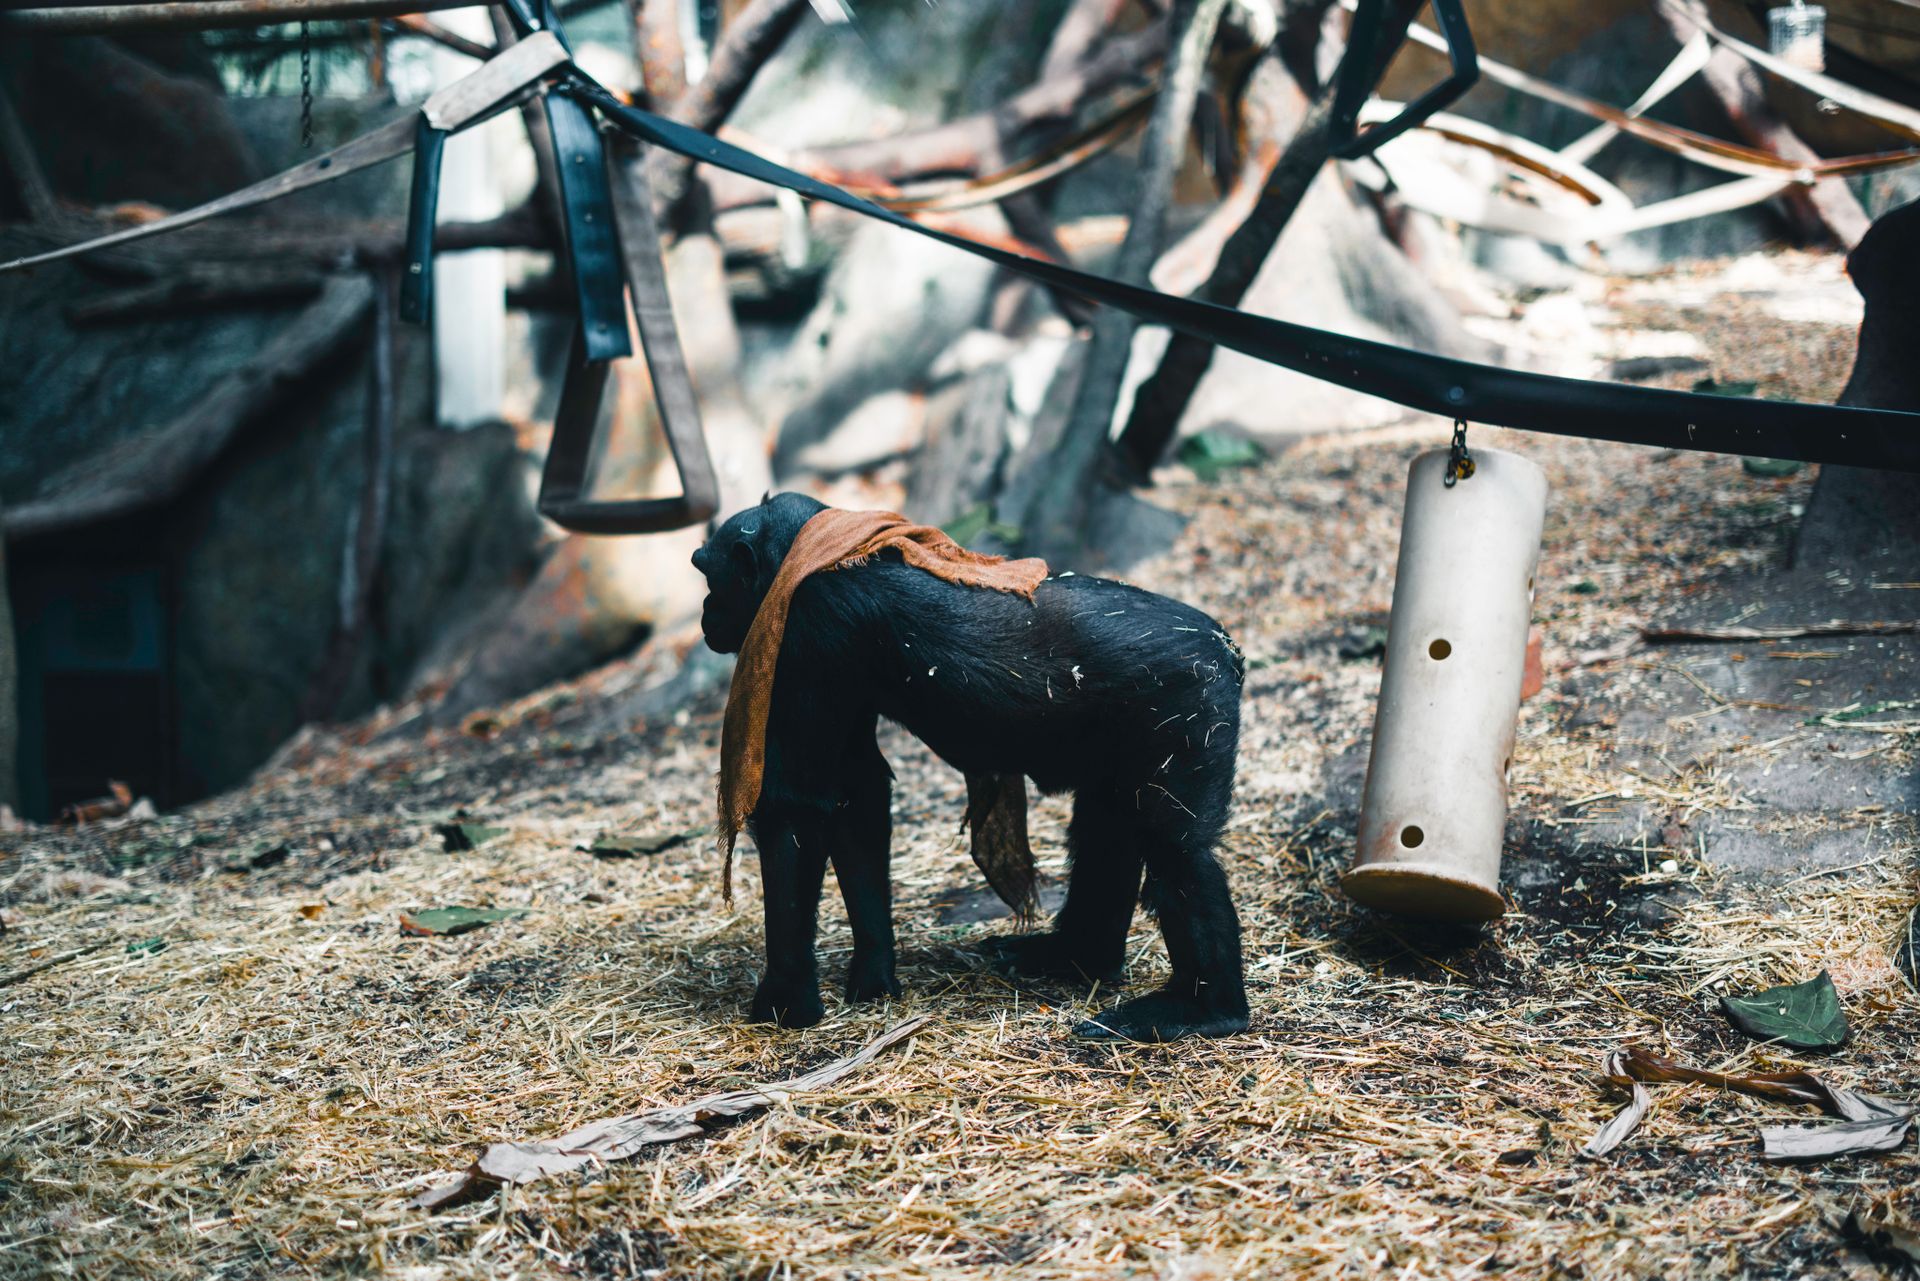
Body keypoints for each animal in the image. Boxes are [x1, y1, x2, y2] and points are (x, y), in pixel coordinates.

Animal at [692, 493, 1247, 1042]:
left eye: (705, 573)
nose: (704, 611)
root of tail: (1225, 646)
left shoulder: (808, 626)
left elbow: (797, 812)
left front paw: (786, 1000)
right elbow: (857, 795)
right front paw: (874, 973)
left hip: (1189, 706)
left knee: (1175, 850)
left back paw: (1207, 1008)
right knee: (1108, 831)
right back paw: (1076, 958)